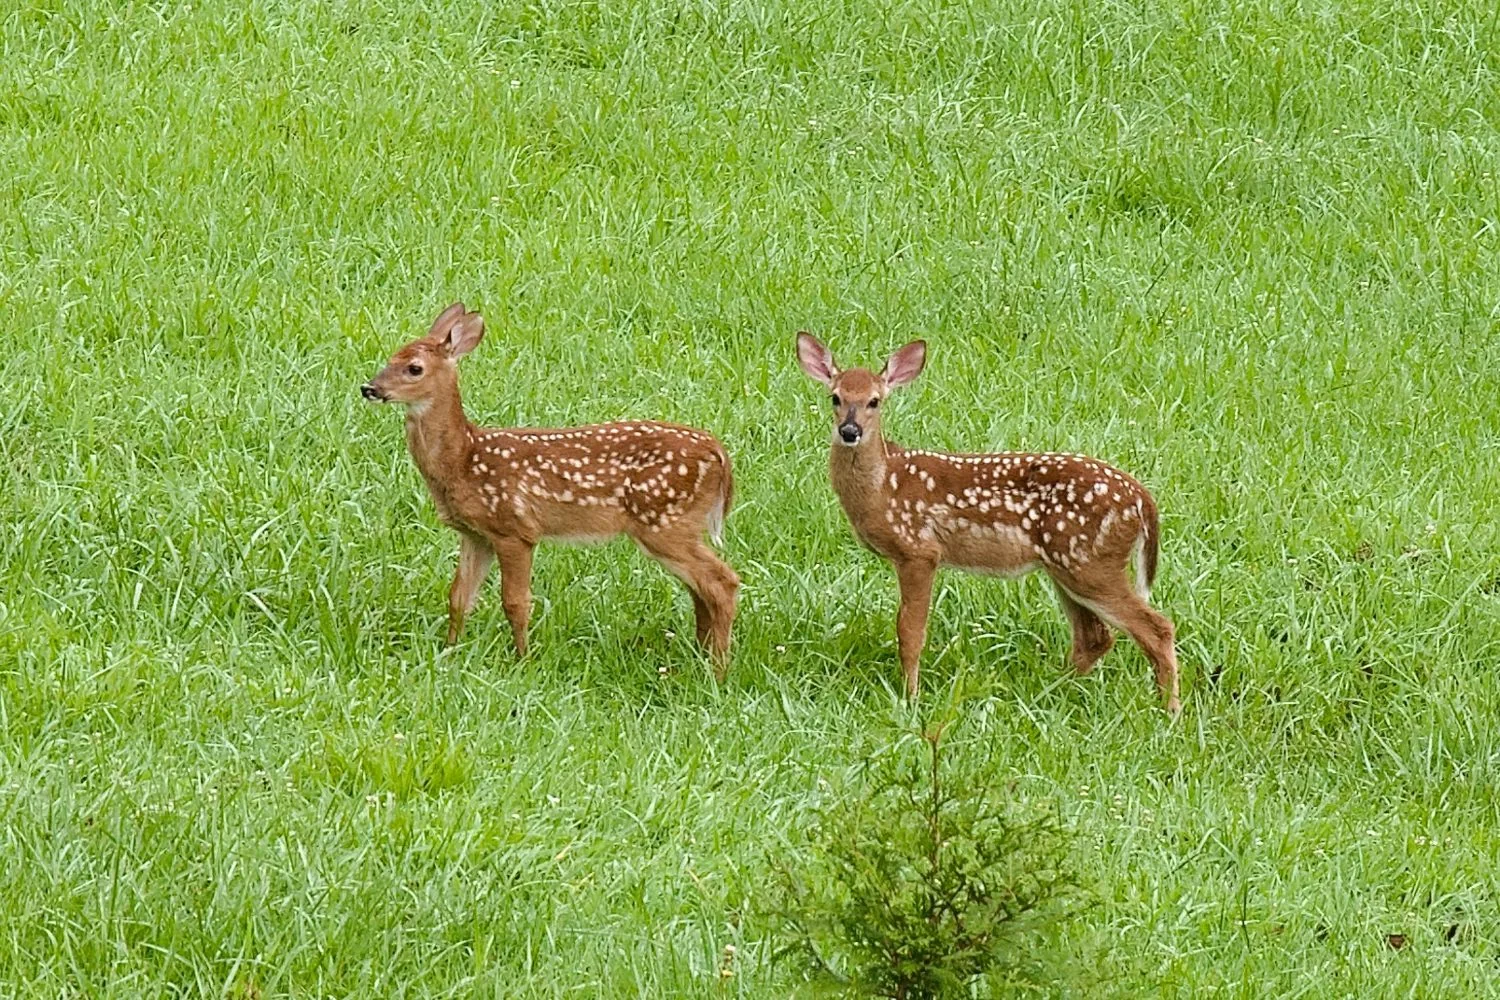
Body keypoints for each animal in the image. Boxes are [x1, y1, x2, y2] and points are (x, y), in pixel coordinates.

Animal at [361, 303, 740, 674]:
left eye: (414, 368)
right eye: (390, 357)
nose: (369, 388)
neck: (464, 460)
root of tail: (719, 455)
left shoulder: (515, 530)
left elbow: (515, 602)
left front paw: (523, 661)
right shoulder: (476, 534)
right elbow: (459, 598)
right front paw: (448, 653)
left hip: (665, 520)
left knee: (722, 582)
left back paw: (718, 671)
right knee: (701, 589)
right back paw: (702, 656)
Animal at [795, 333, 1179, 715]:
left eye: (874, 401)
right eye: (836, 397)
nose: (849, 430)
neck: (884, 486)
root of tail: (1142, 499)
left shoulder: (918, 550)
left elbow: (910, 632)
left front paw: (911, 699)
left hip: (1090, 562)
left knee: (1156, 628)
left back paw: (1170, 711)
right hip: (1066, 566)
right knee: (1095, 637)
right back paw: (1048, 694)